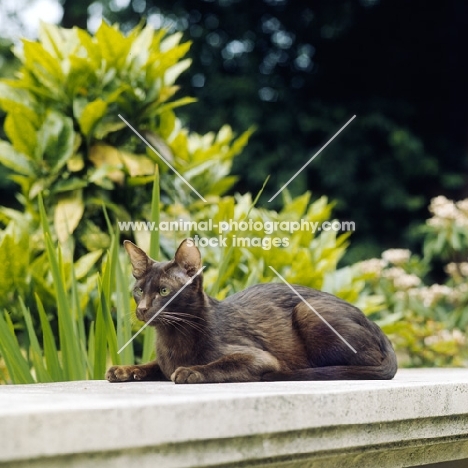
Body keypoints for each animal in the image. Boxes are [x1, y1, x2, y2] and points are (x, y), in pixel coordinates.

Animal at [107, 238, 398, 384]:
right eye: (138, 291)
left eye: (164, 291)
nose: (142, 308)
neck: (171, 340)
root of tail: (375, 325)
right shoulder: (162, 362)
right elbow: (151, 365)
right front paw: (123, 370)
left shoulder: (260, 358)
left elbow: (222, 364)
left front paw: (191, 371)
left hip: (307, 311)